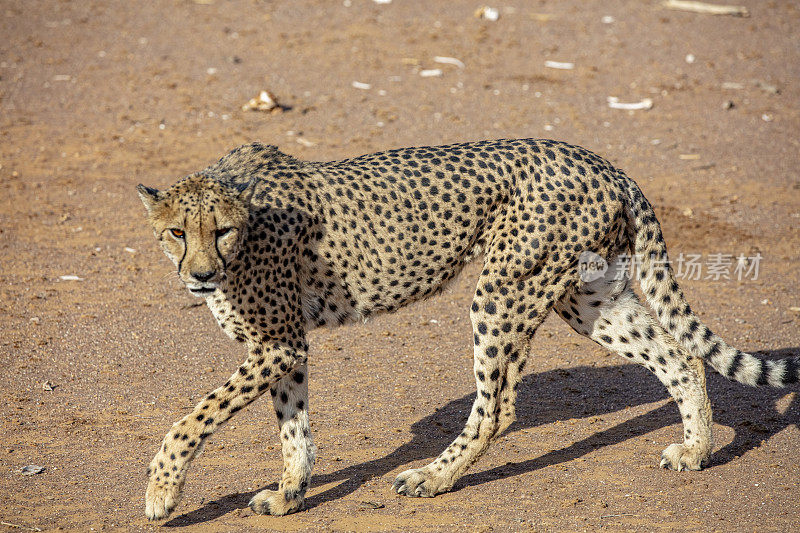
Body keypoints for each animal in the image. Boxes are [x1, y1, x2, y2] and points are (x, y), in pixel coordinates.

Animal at [139, 139, 800, 516]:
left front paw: (161, 493)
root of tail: (604, 162)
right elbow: (293, 426)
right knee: (677, 356)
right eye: (177, 232)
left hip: (503, 290)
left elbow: (191, 419)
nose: (200, 275)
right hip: (588, 296)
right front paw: (290, 493)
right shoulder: (284, 347)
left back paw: (433, 477)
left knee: (498, 406)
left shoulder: (276, 341)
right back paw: (696, 449)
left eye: (220, 231)